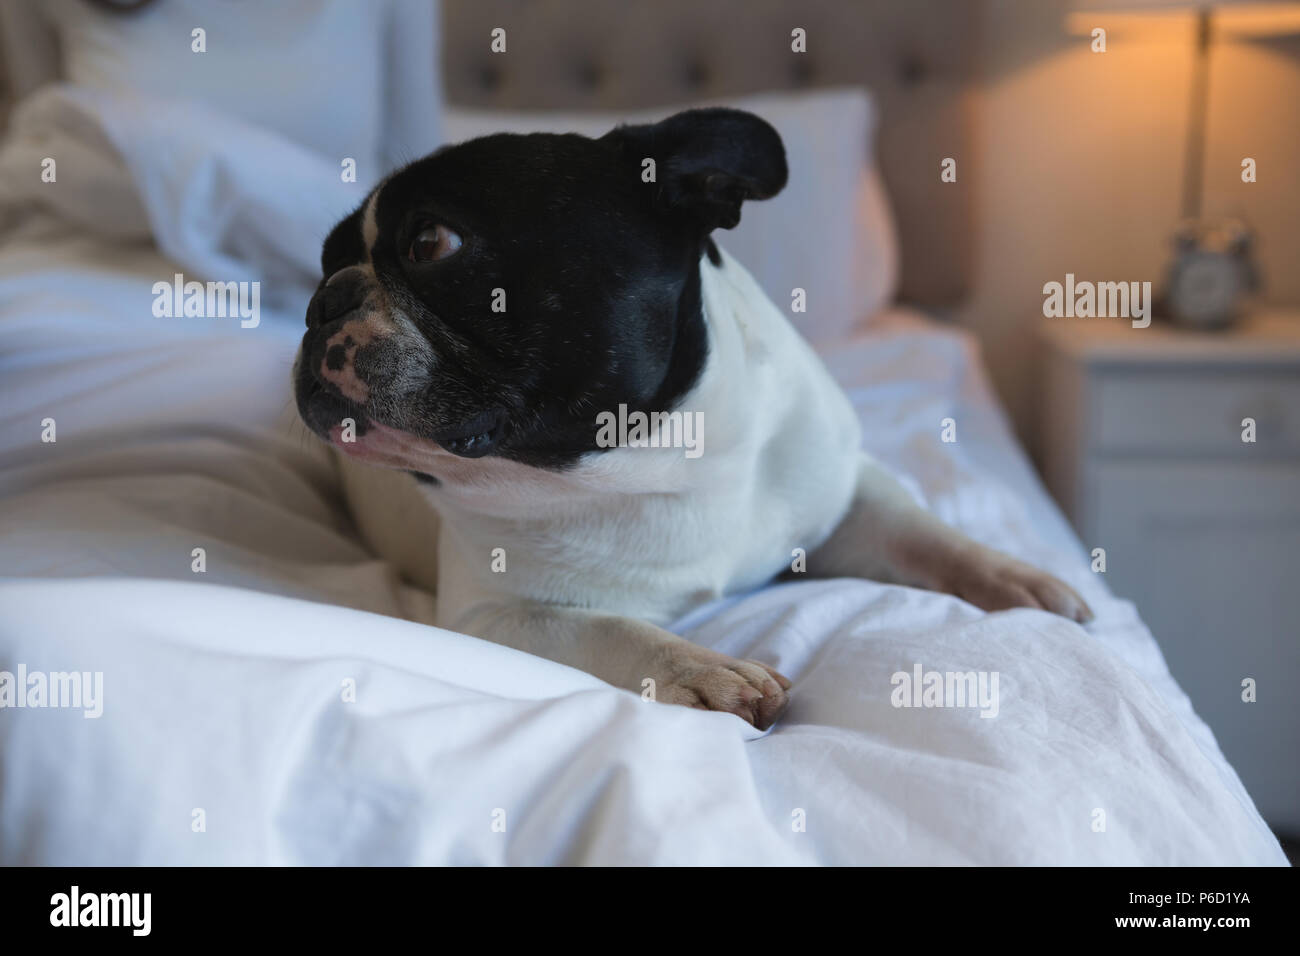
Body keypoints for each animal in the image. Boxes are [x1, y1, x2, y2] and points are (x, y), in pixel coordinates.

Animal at [295, 108, 1086, 728]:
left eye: (431, 243)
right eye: (324, 262)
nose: (324, 298)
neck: (658, 461)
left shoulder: (846, 492)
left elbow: (924, 534)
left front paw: (1017, 577)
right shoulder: (494, 617)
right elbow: (612, 630)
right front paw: (705, 670)